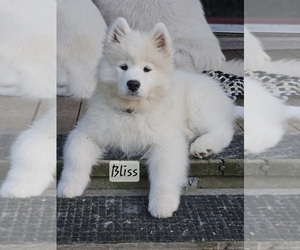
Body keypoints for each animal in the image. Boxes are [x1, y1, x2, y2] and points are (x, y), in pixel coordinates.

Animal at [57, 17, 236, 218]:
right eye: (123, 66)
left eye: (147, 69)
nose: (133, 84)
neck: (131, 110)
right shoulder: (85, 132)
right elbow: (76, 156)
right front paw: (68, 187)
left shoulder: (166, 141)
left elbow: (164, 173)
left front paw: (162, 204)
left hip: (198, 106)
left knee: (223, 129)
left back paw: (203, 146)